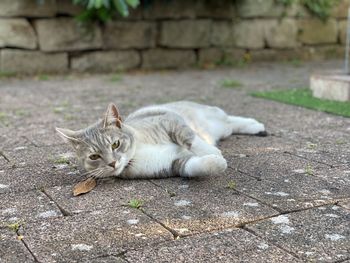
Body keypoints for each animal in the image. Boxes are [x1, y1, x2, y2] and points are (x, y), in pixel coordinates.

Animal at [56, 102, 266, 180]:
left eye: (115, 144)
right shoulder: (172, 164)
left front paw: (212, 152)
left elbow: (190, 139)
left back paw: (255, 124)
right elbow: (193, 167)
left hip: (211, 118)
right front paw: (215, 162)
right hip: (220, 128)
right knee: (231, 124)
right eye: (94, 156)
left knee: (229, 119)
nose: (112, 163)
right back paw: (255, 128)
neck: (138, 152)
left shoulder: (170, 121)